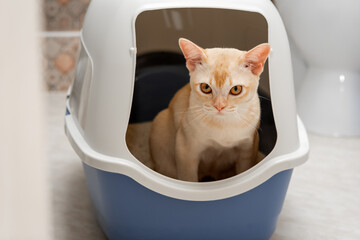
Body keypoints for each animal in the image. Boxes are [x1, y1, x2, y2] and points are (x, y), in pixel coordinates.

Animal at [149, 37, 270, 182]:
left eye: (236, 89)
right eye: (205, 87)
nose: (219, 106)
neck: (223, 125)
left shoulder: (248, 148)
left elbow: (244, 171)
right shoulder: (185, 150)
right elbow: (188, 179)